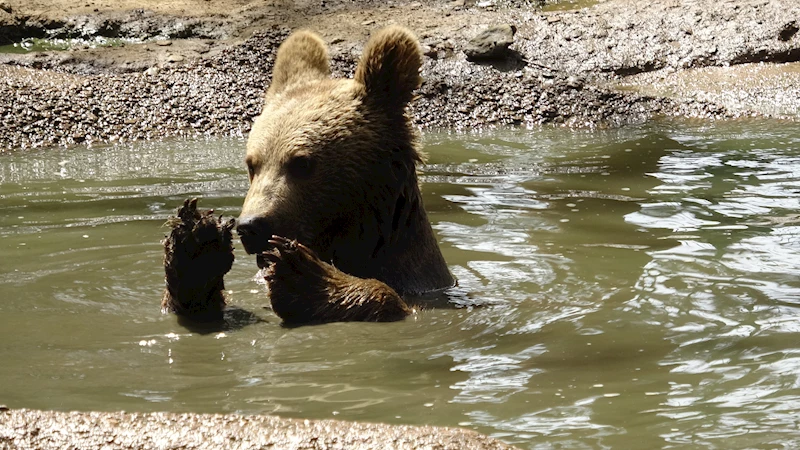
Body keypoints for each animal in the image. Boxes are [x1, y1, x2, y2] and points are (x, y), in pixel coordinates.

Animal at [159, 27, 454, 324]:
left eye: (301, 163)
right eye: (252, 164)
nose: (251, 225)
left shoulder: (420, 284)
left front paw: (306, 278)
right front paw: (196, 247)